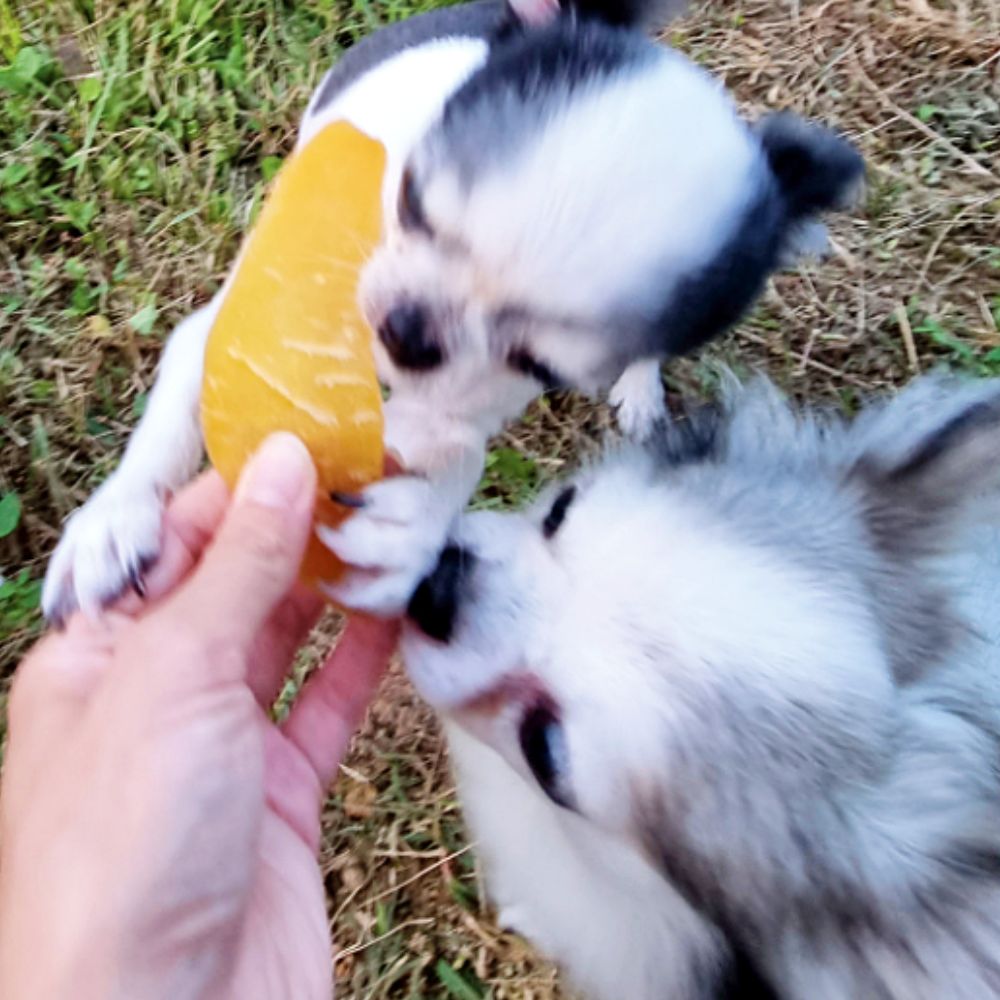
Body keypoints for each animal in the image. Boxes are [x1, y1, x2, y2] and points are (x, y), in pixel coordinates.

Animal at [43, 0, 864, 620]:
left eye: (537, 363)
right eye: (409, 203)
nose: (408, 331)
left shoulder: (462, 408)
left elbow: (458, 455)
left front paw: (414, 529)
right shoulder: (228, 328)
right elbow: (175, 416)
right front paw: (114, 524)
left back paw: (640, 385)